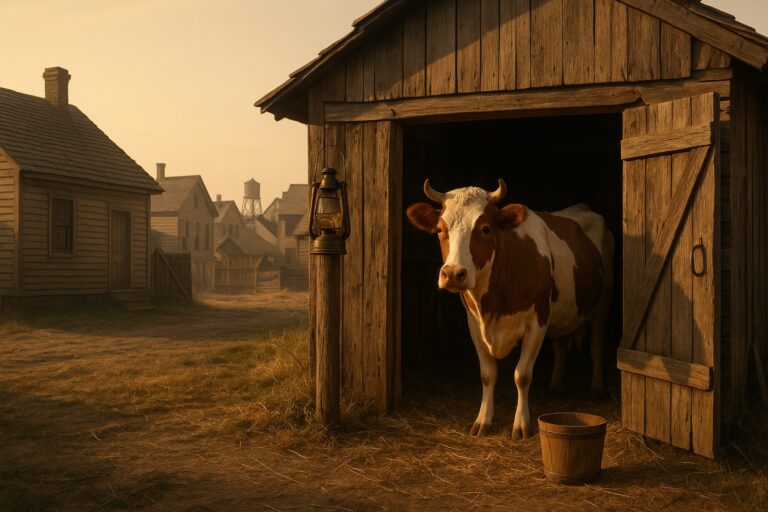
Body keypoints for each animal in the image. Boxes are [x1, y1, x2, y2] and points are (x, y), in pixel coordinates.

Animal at [406, 179, 614, 440]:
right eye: (440, 230)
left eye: (486, 229)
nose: (453, 274)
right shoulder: (474, 324)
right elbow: (487, 374)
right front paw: (483, 420)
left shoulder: (537, 322)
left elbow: (522, 375)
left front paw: (521, 424)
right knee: (560, 344)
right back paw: (555, 385)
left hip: (603, 301)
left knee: (596, 342)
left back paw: (597, 387)